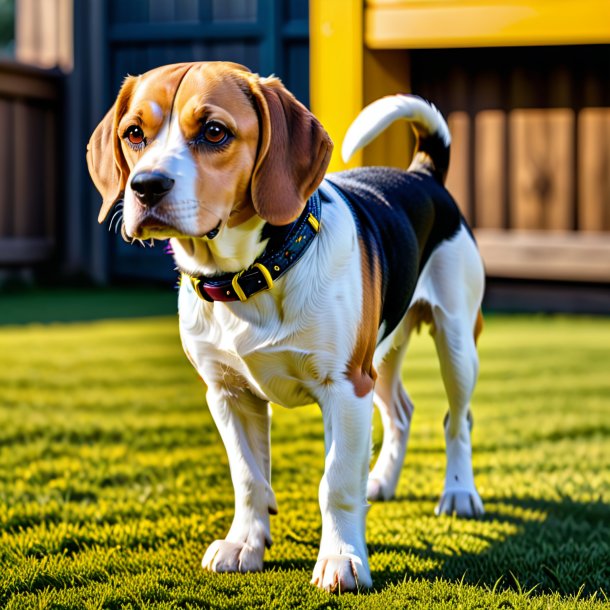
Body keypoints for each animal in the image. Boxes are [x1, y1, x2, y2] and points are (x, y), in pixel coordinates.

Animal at [86, 61, 484, 588]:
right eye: (134, 134)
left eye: (214, 131)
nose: (146, 185)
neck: (252, 277)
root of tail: (423, 174)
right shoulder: (229, 393)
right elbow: (249, 478)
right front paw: (244, 544)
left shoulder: (345, 387)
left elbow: (336, 481)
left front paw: (341, 558)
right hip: (379, 359)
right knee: (400, 411)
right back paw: (381, 480)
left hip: (455, 344)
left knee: (457, 420)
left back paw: (458, 492)